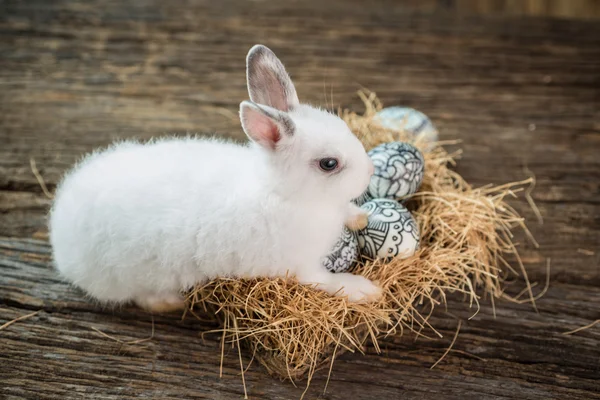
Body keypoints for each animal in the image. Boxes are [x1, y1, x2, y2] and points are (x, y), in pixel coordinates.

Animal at [49, 44, 382, 312]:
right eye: (329, 164)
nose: (370, 170)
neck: (282, 194)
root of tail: (60, 235)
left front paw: (360, 217)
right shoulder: (303, 267)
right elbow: (329, 282)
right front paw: (365, 290)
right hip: (131, 277)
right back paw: (170, 303)